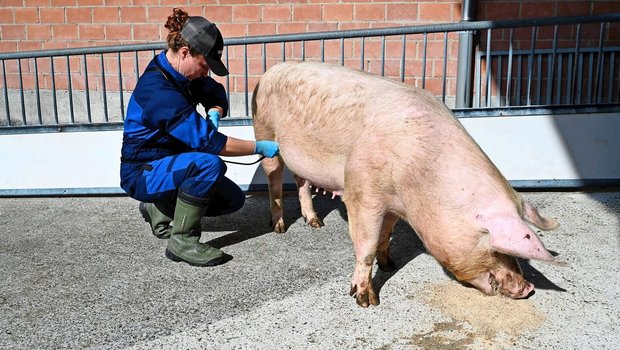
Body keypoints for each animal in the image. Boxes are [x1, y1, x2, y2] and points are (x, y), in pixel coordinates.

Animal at [251, 61, 560, 308]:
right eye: (497, 247)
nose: (529, 289)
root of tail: (270, 70)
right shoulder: (362, 194)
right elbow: (365, 246)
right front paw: (366, 301)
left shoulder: (394, 205)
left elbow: (385, 236)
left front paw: (391, 265)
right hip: (265, 135)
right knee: (274, 181)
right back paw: (279, 227)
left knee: (301, 182)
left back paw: (315, 223)